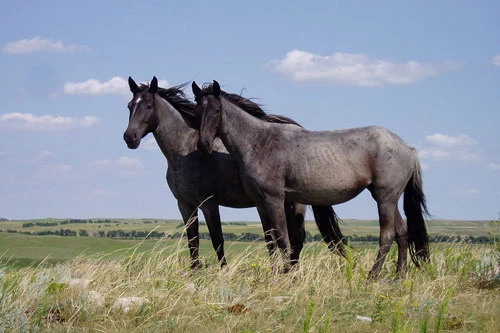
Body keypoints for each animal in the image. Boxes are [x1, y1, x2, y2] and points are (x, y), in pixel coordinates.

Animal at [123, 76, 346, 268]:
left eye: (149, 106)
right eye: (130, 106)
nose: (129, 137)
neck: (184, 152)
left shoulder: (209, 204)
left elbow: (217, 240)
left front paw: (223, 272)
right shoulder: (185, 205)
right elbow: (193, 242)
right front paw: (194, 274)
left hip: (295, 204)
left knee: (296, 240)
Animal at [191, 80, 430, 278]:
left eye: (217, 110)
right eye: (196, 111)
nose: (203, 145)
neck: (259, 142)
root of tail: (407, 148)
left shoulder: (275, 199)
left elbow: (283, 239)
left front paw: (287, 274)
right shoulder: (260, 203)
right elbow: (270, 240)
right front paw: (275, 273)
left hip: (385, 198)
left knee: (387, 235)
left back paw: (373, 275)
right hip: (388, 198)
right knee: (402, 233)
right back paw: (399, 275)